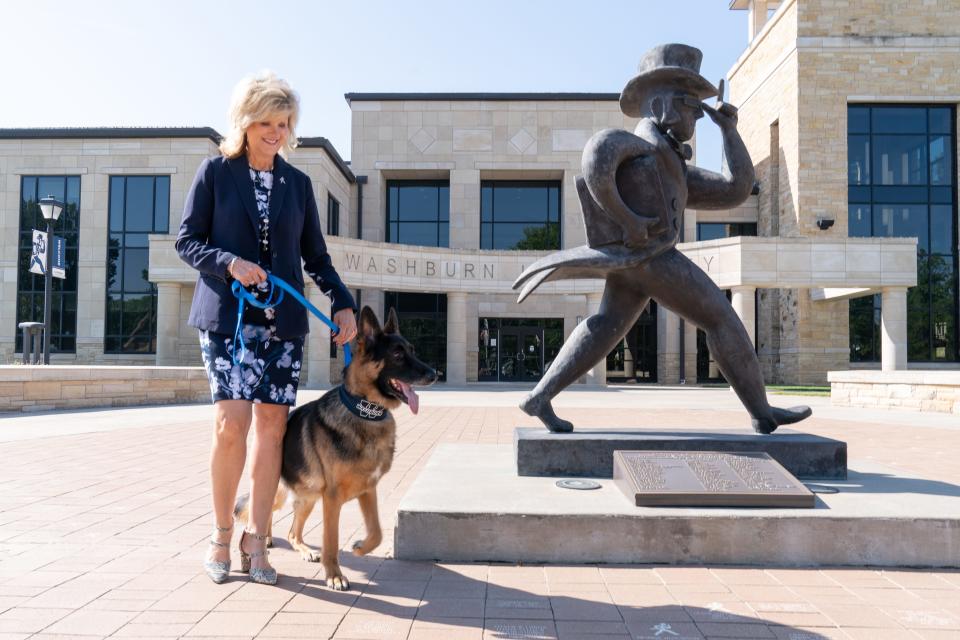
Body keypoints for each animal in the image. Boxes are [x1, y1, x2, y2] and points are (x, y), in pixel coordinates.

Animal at [236, 304, 438, 592]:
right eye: (398, 354)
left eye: (412, 349)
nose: (435, 374)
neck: (365, 412)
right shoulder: (332, 499)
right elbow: (331, 540)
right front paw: (334, 575)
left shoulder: (368, 490)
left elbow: (377, 532)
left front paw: (361, 548)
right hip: (280, 490)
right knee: (261, 510)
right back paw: (264, 540)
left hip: (308, 497)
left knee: (294, 532)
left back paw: (304, 549)